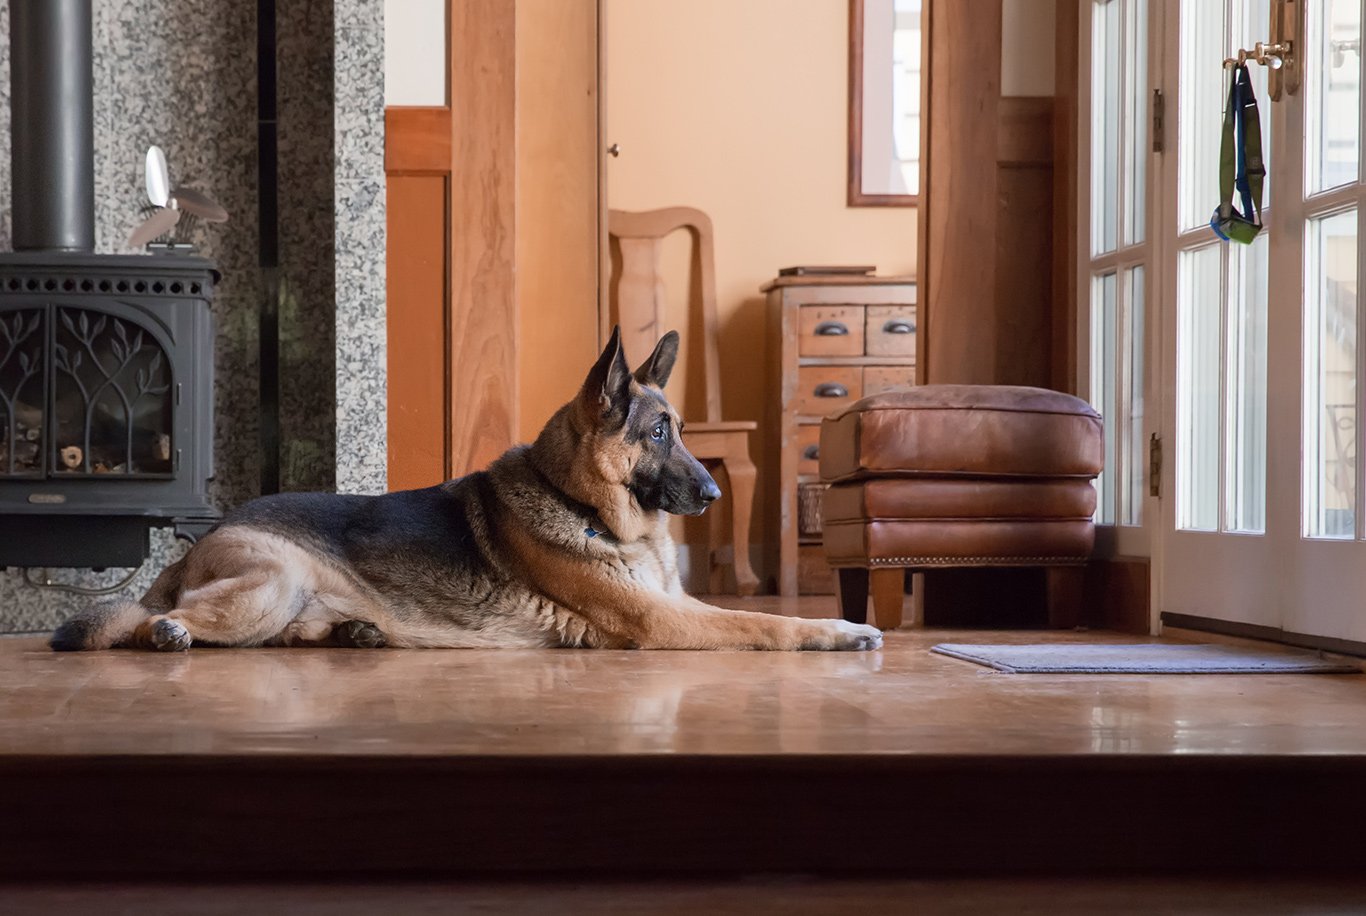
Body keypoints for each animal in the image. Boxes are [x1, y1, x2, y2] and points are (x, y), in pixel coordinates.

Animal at [50, 330, 885, 652]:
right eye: (656, 435)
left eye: (680, 431)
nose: (712, 491)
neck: (583, 505)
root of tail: (200, 543)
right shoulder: (662, 620)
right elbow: (765, 623)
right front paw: (839, 630)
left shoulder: (674, 602)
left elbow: (751, 613)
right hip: (270, 582)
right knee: (144, 624)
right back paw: (167, 630)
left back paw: (356, 633)